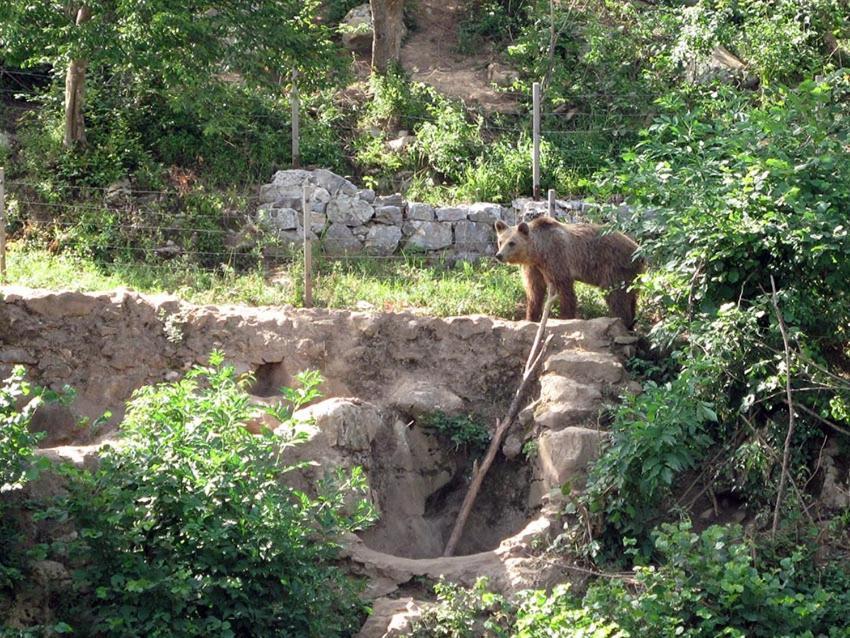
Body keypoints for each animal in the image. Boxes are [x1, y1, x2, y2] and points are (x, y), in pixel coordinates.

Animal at [490, 219, 644, 328]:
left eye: (512, 243)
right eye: (500, 241)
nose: (499, 255)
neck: (538, 252)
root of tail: (639, 250)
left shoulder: (557, 259)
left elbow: (566, 291)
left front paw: (565, 318)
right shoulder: (534, 268)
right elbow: (535, 291)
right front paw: (531, 317)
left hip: (614, 266)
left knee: (615, 295)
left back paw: (623, 322)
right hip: (632, 275)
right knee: (630, 296)